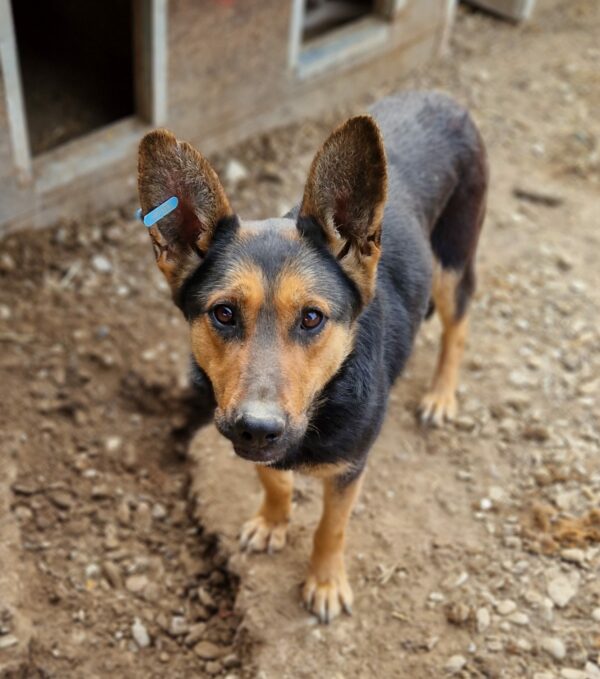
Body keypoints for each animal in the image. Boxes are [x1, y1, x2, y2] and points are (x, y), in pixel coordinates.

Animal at [137, 91, 488, 628]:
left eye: (311, 318)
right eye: (223, 313)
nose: (257, 428)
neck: (325, 398)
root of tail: (443, 97)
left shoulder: (349, 467)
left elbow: (331, 528)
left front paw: (324, 582)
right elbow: (272, 479)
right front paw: (273, 520)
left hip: (452, 260)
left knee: (459, 326)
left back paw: (441, 395)